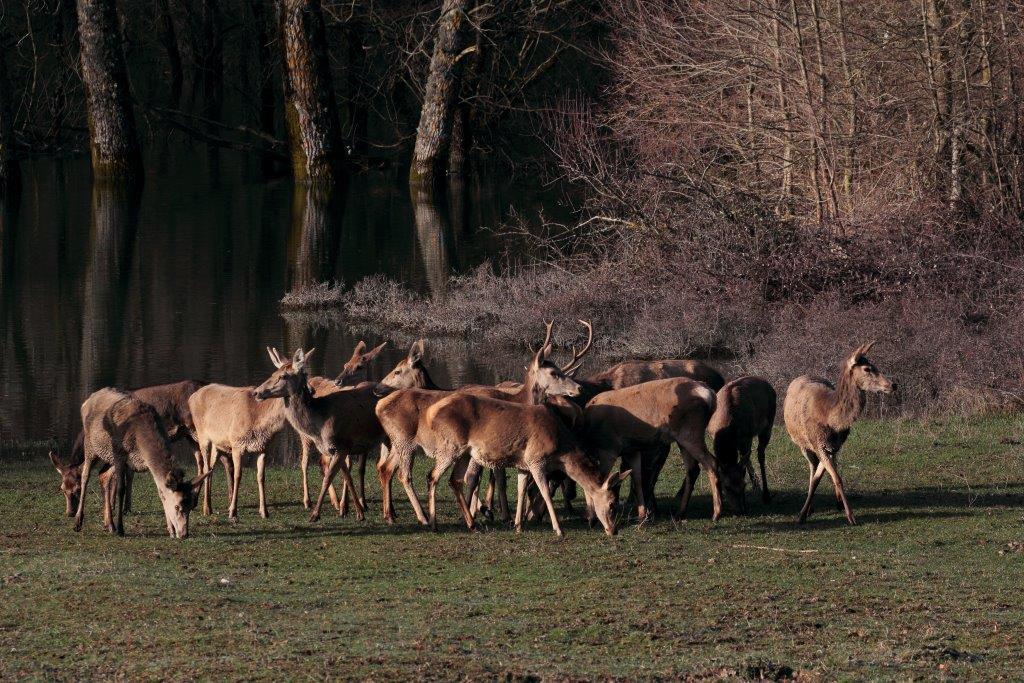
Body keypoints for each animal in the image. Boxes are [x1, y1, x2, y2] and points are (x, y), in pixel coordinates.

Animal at [581, 378, 724, 524]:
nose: (588, 517)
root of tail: (710, 395)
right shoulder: (632, 449)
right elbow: (637, 479)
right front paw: (642, 515)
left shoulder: (609, 448)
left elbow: (599, 479)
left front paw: (592, 517)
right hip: (683, 439)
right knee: (693, 469)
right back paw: (680, 513)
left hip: (690, 433)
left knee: (711, 463)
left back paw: (716, 513)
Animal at [782, 339, 897, 524]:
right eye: (867, 368)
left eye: (874, 365)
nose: (893, 385)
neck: (830, 418)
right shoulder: (818, 443)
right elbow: (831, 478)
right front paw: (850, 516)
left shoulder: (833, 446)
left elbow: (828, 476)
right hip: (801, 442)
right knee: (812, 465)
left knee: (828, 465)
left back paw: (836, 502)